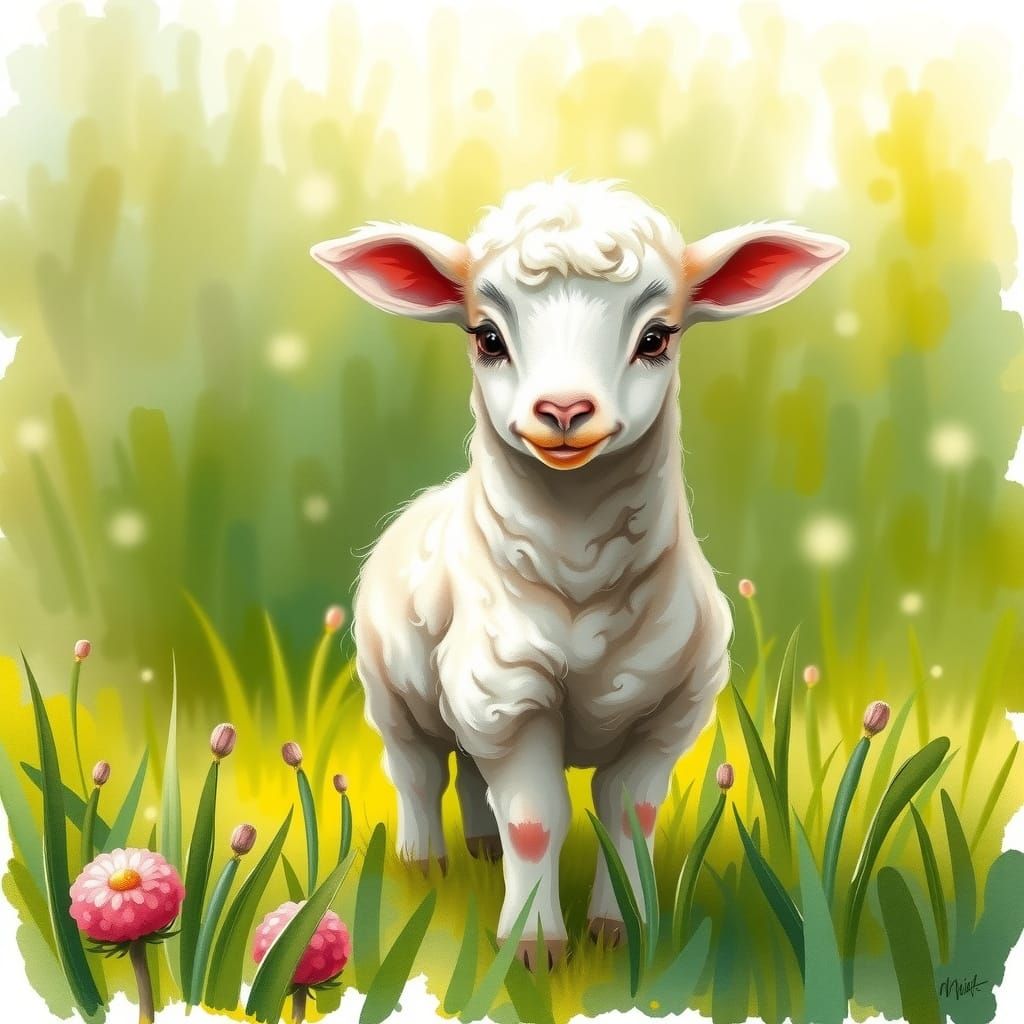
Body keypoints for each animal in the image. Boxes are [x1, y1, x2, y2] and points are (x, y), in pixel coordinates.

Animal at [311, 177, 847, 968]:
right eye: (487, 337)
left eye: (657, 337)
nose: (564, 410)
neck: (584, 578)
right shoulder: (510, 696)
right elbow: (537, 820)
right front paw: (533, 946)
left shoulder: (669, 709)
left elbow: (630, 817)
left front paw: (622, 930)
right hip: (394, 689)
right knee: (417, 770)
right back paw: (424, 861)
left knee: (471, 775)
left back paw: (479, 848)